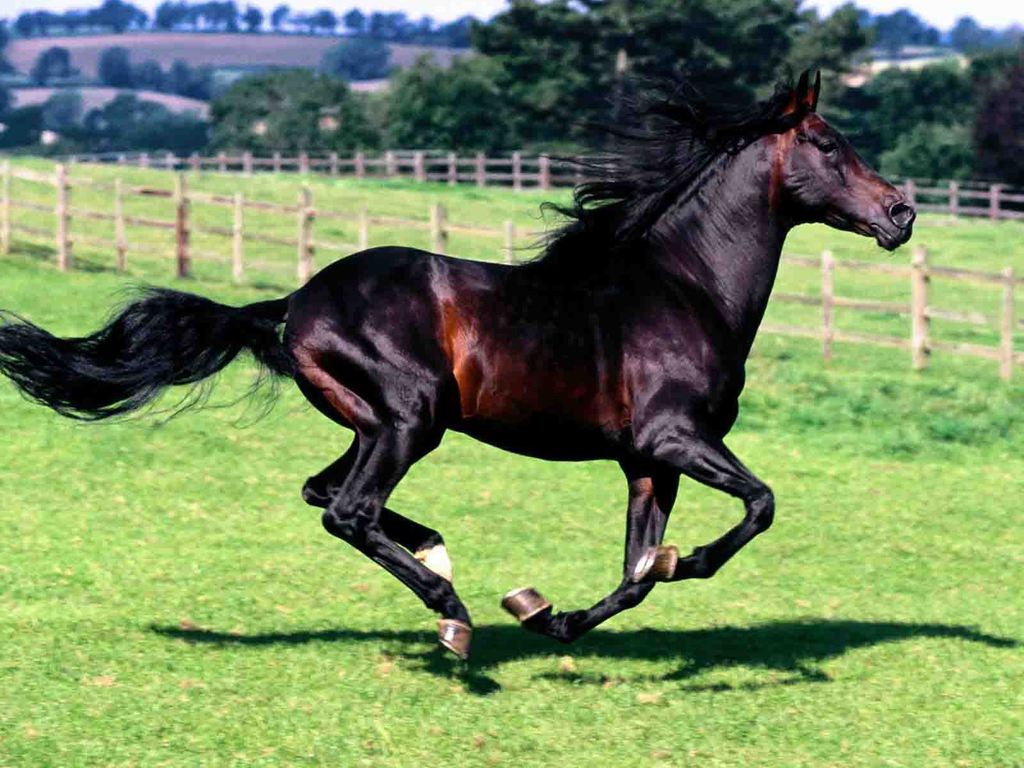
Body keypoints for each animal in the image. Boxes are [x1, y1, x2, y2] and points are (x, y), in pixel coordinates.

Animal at [0, 73, 913, 663]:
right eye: (827, 144)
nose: (901, 213)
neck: (685, 287)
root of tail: (295, 303)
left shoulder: (646, 461)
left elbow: (634, 574)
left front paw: (548, 615)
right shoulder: (674, 438)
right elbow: (757, 507)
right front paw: (679, 564)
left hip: (377, 423)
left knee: (325, 494)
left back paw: (443, 562)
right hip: (411, 418)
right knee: (349, 510)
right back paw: (451, 613)